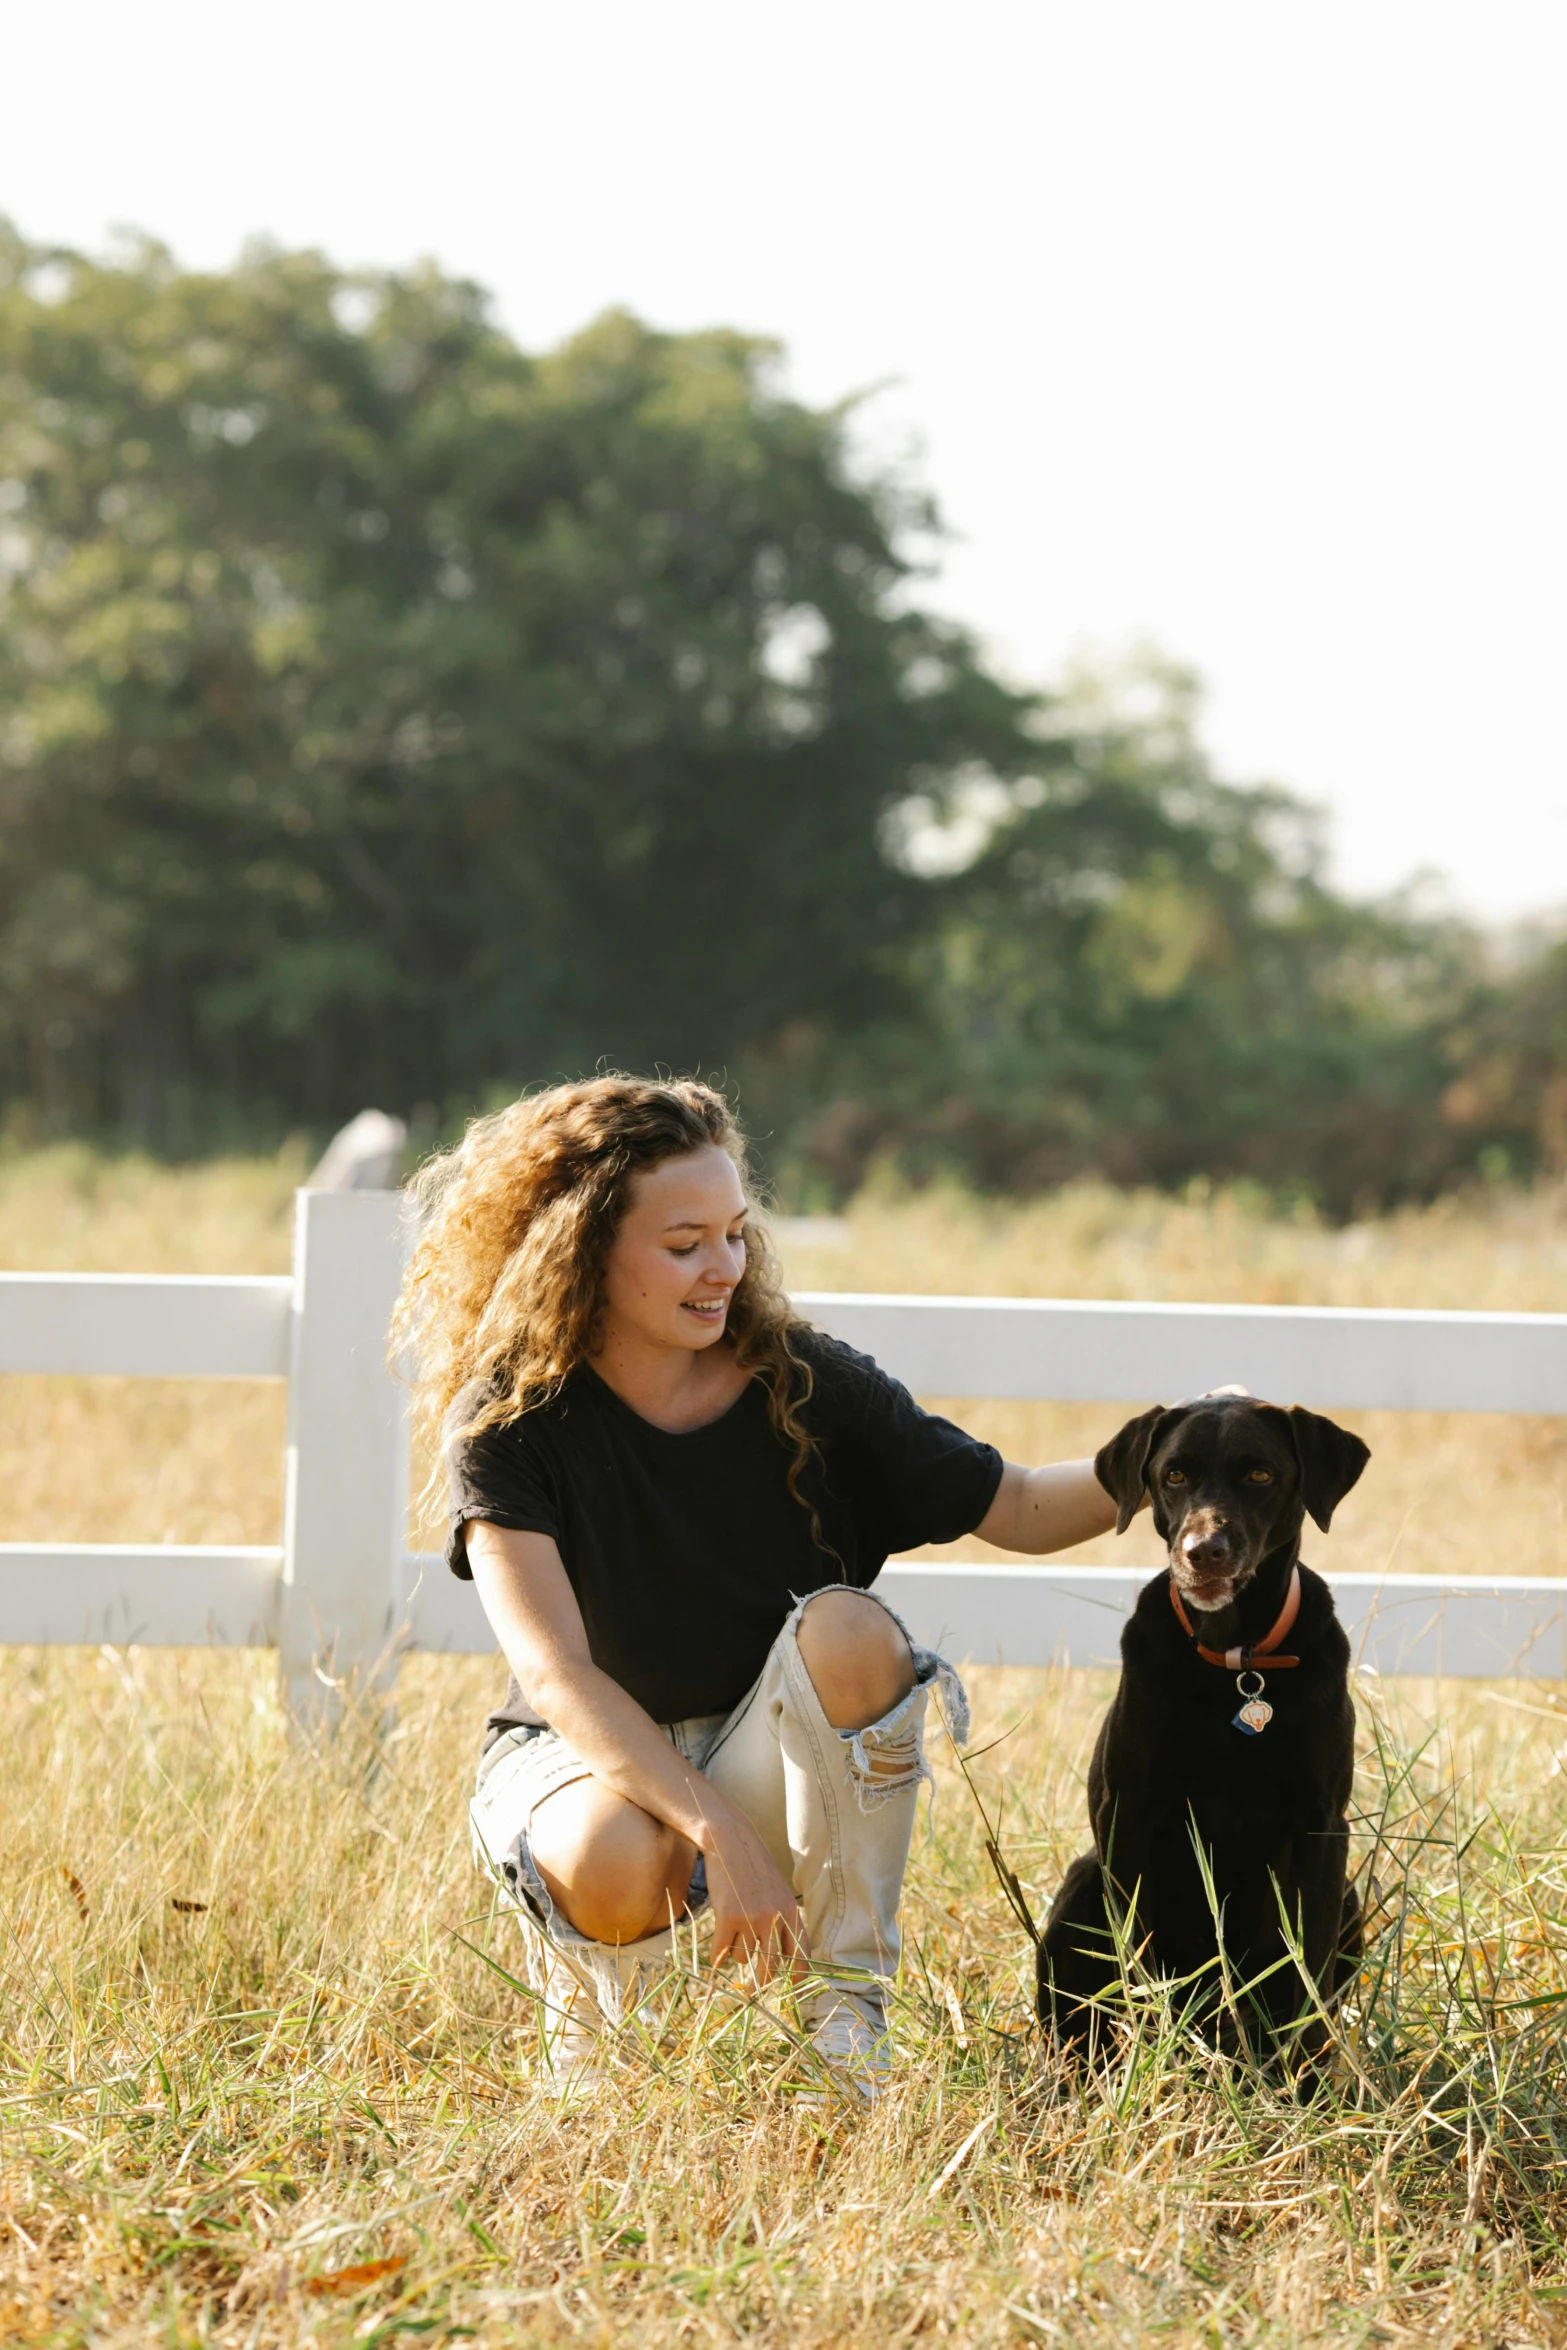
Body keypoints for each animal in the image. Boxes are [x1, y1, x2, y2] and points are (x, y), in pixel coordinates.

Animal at [1043, 1400, 1372, 2068]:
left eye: (1259, 1475)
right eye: (1173, 1474)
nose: (1204, 1550)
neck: (1234, 1660)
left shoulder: (1322, 1825)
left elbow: (1308, 1971)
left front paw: (1306, 2078)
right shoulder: (1130, 1817)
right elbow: (1143, 1962)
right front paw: (1164, 2056)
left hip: (1351, 1897)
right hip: (1084, 1879)